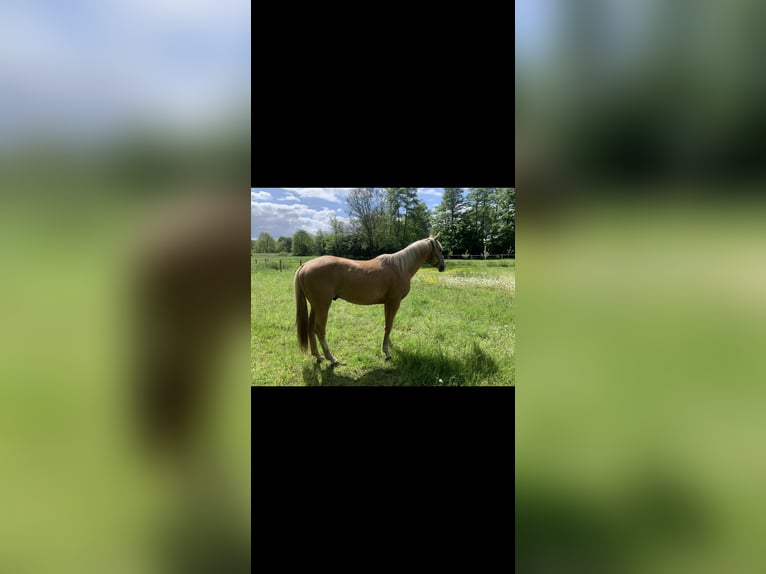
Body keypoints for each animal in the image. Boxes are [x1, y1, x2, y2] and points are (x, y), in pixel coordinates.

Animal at [294, 233, 445, 365]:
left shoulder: (387, 303)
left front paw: (388, 344)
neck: (400, 267)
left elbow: (387, 324)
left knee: (310, 327)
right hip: (323, 306)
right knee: (319, 329)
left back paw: (317, 356)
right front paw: (386, 352)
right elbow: (389, 324)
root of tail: (305, 265)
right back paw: (331, 358)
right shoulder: (394, 302)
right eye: (440, 249)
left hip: (315, 306)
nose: (443, 267)